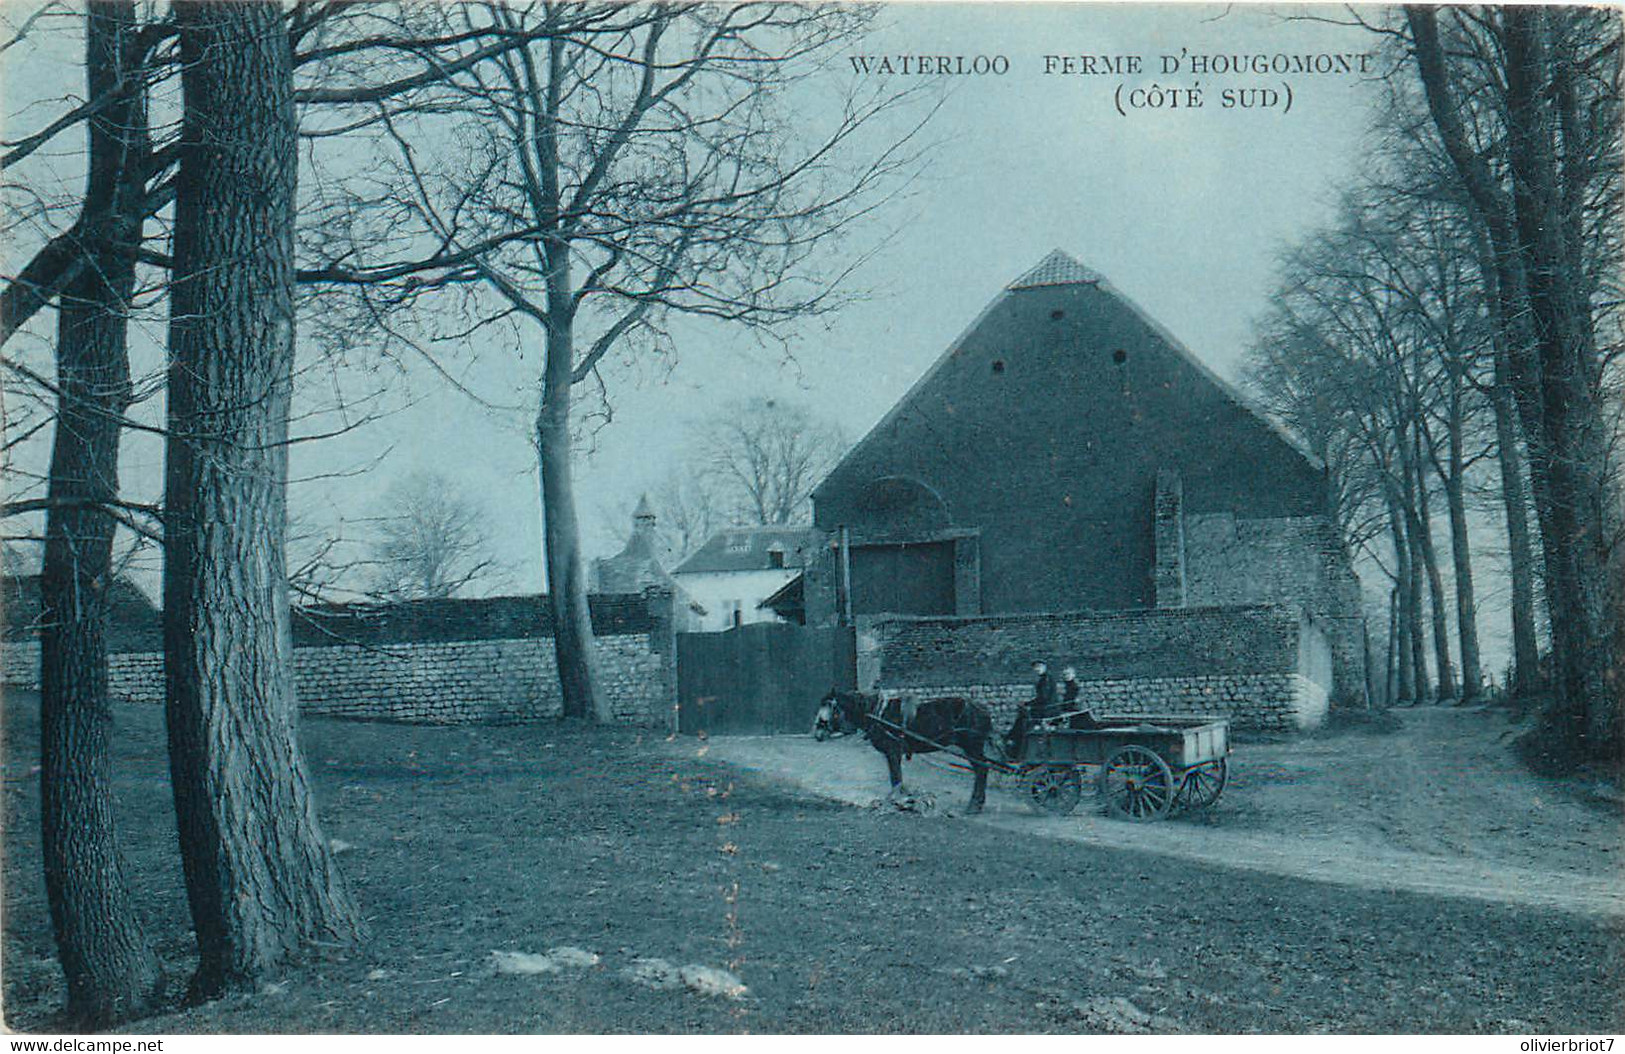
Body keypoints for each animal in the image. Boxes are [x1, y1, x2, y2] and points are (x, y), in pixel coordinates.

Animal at [825, 691, 988, 815]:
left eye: (833, 707)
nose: (821, 731)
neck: (878, 713)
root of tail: (981, 708)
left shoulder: (893, 751)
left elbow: (896, 776)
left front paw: (896, 799)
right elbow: (897, 776)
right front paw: (905, 798)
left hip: (972, 747)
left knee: (981, 770)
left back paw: (975, 805)